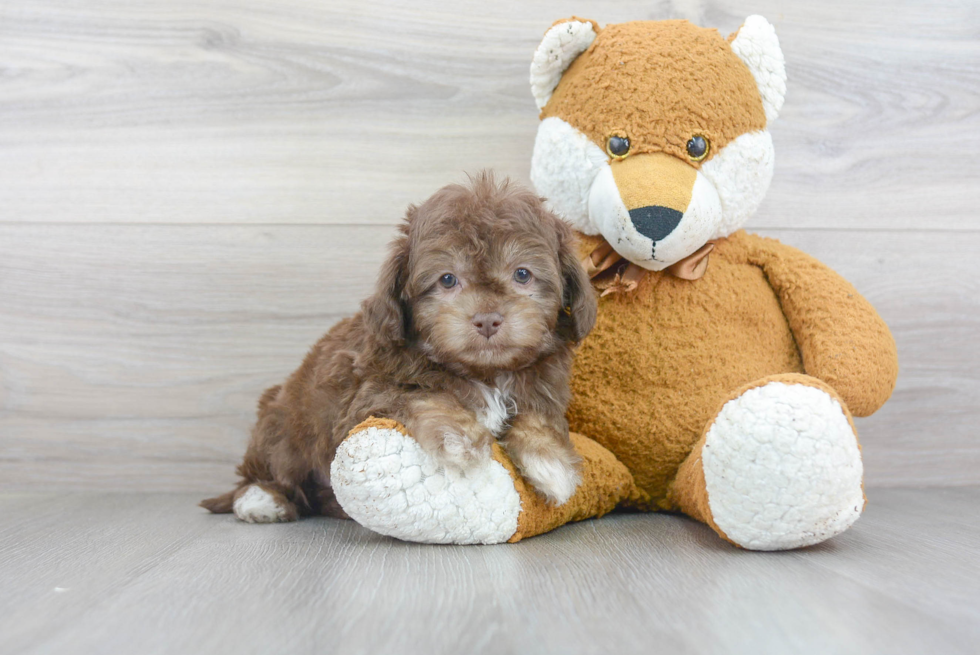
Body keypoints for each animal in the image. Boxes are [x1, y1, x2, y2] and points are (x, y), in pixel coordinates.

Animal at [202, 173, 592, 524]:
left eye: (522, 274)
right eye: (447, 279)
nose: (487, 320)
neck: (485, 373)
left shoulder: (542, 385)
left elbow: (539, 415)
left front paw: (551, 461)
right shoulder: (365, 398)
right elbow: (423, 393)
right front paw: (460, 437)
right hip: (281, 425)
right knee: (270, 471)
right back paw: (261, 500)